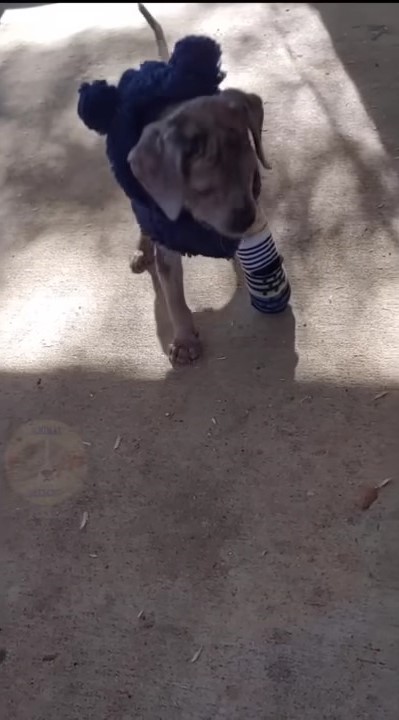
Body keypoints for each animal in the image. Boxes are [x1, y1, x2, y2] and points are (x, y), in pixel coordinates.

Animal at [130, 4, 270, 366]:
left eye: (254, 178)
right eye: (202, 190)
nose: (246, 218)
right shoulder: (165, 233)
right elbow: (174, 297)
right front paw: (183, 340)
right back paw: (141, 250)